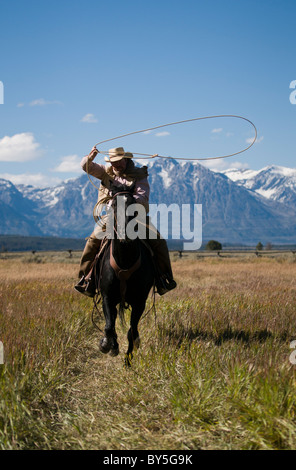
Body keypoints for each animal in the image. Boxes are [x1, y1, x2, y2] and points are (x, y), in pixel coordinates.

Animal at [95, 182, 155, 366]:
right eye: (114, 204)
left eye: (134, 203)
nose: (126, 232)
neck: (125, 260)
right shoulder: (107, 297)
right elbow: (109, 326)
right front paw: (107, 345)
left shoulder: (139, 301)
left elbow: (131, 331)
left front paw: (128, 360)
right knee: (112, 321)